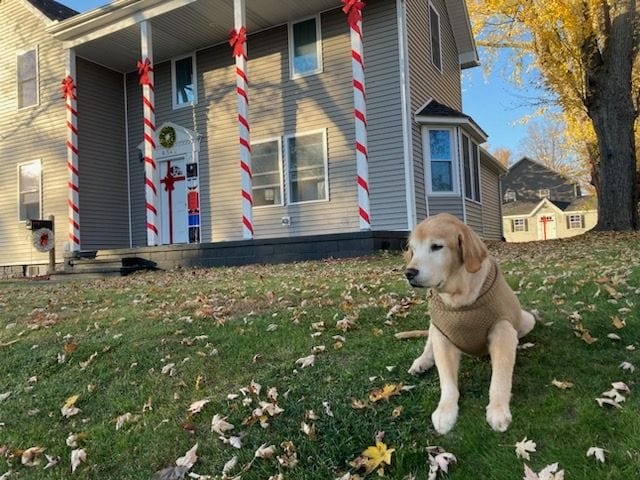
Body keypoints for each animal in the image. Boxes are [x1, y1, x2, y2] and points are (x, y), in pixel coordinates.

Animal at [404, 214, 536, 436]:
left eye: (436, 246)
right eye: (413, 249)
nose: (409, 273)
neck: (459, 298)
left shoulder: (502, 330)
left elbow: (499, 378)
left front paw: (498, 410)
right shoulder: (442, 335)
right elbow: (447, 381)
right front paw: (445, 411)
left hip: (527, 320)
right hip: (434, 325)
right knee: (428, 345)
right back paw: (422, 362)